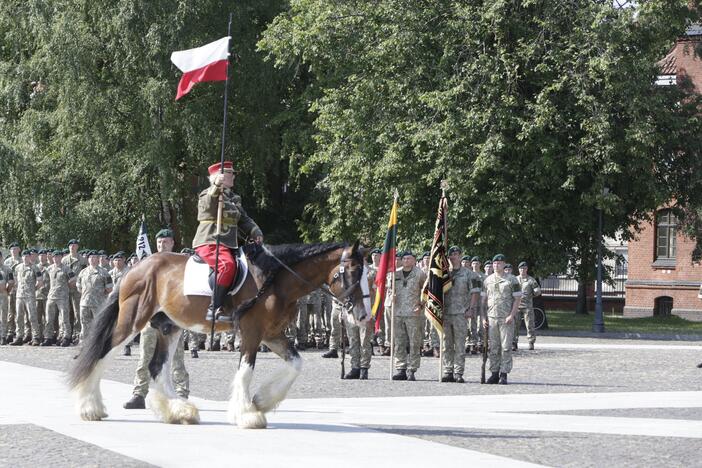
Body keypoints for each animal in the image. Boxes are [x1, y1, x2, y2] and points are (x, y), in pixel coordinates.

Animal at [68, 241, 372, 428]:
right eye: (353, 271)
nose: (364, 315)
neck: (275, 280)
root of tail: (137, 267)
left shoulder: (272, 335)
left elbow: (296, 364)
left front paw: (261, 400)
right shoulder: (252, 332)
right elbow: (246, 371)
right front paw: (247, 414)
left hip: (170, 327)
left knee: (158, 367)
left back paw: (178, 411)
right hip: (132, 321)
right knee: (103, 354)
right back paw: (90, 407)